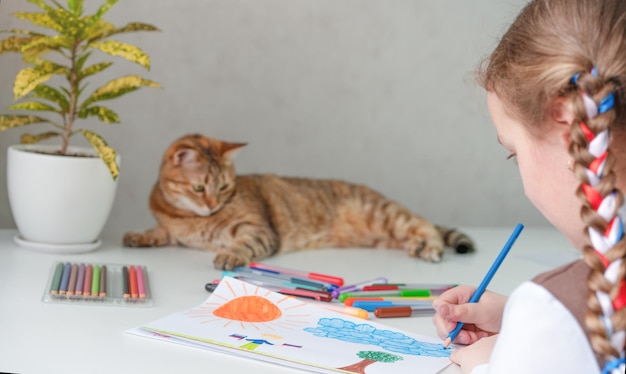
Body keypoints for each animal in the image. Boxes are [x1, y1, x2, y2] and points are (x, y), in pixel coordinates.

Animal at [123, 134, 472, 268]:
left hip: (388, 215)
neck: (187, 217)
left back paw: (430, 247)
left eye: (223, 187)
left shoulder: (258, 231)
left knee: (426, 225)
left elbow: (241, 245)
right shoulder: (172, 227)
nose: (211, 205)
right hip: (385, 236)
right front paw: (138, 236)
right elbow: (159, 231)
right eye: (199, 188)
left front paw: (229, 255)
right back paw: (416, 246)